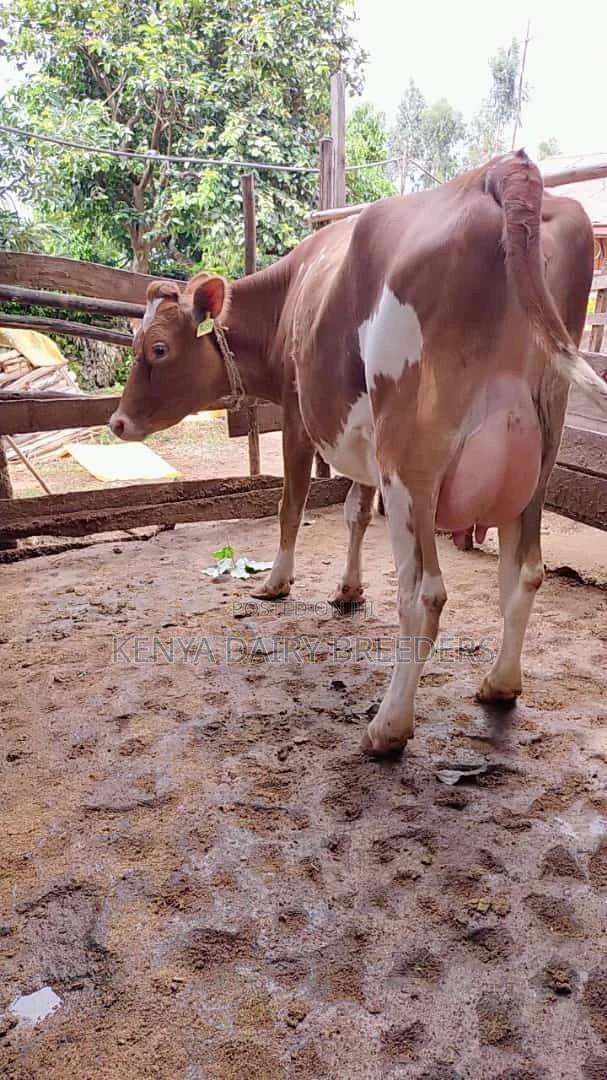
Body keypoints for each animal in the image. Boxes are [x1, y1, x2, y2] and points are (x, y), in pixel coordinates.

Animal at [109, 150, 605, 756]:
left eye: (157, 348)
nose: (116, 421)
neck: (289, 296)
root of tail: (500, 170)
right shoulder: (362, 438)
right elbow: (354, 512)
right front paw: (347, 589)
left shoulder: (299, 416)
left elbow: (291, 505)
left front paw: (276, 583)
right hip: (539, 453)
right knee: (525, 572)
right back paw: (500, 684)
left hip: (410, 457)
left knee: (424, 593)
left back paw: (388, 726)